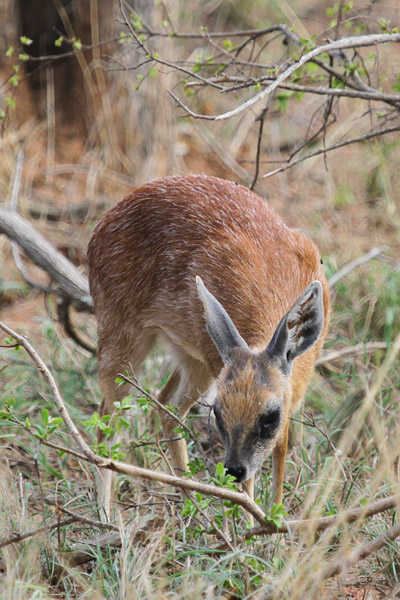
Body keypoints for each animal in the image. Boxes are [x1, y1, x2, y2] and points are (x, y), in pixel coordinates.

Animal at [86, 176, 328, 508]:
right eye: (218, 412)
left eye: (270, 416)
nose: (233, 469)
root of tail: (102, 224)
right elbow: (251, 483)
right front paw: (254, 517)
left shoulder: (290, 397)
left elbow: (282, 448)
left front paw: (276, 516)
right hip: (124, 340)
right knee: (106, 423)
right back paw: (110, 515)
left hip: (192, 358)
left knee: (165, 407)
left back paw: (189, 499)